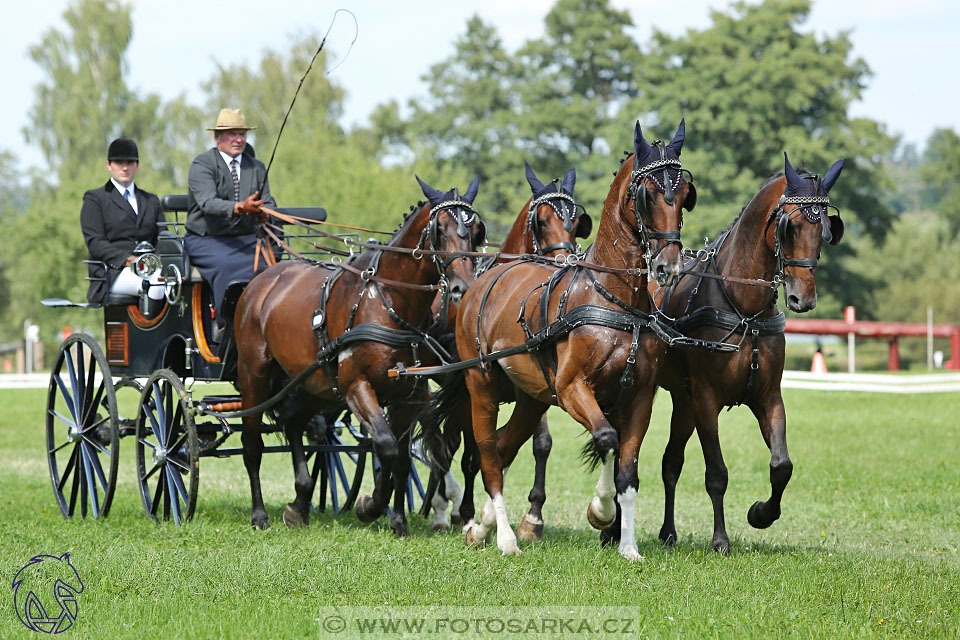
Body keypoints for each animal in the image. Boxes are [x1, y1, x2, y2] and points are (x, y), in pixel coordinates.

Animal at [233, 176, 488, 536]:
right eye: (439, 228)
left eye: (476, 229)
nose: (462, 288)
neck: (389, 302)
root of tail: (262, 281)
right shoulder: (356, 386)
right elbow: (387, 445)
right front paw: (371, 506)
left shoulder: (409, 395)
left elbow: (402, 458)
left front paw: (397, 519)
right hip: (254, 374)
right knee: (252, 443)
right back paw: (259, 514)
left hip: (317, 383)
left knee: (293, 420)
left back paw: (299, 504)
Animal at [422, 162, 588, 532]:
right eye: (541, 221)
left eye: (574, 222)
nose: (564, 262)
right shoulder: (475, 389)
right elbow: (473, 450)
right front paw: (470, 512)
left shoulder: (535, 382)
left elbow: (540, 443)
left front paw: (534, 515)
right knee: (444, 440)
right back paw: (444, 506)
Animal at [648, 152, 844, 552]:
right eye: (789, 227)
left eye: (825, 231)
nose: (803, 299)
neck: (745, 309)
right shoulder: (706, 399)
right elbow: (717, 474)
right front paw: (721, 539)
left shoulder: (768, 396)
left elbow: (782, 465)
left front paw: (761, 513)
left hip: (683, 401)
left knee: (671, 462)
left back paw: (668, 531)